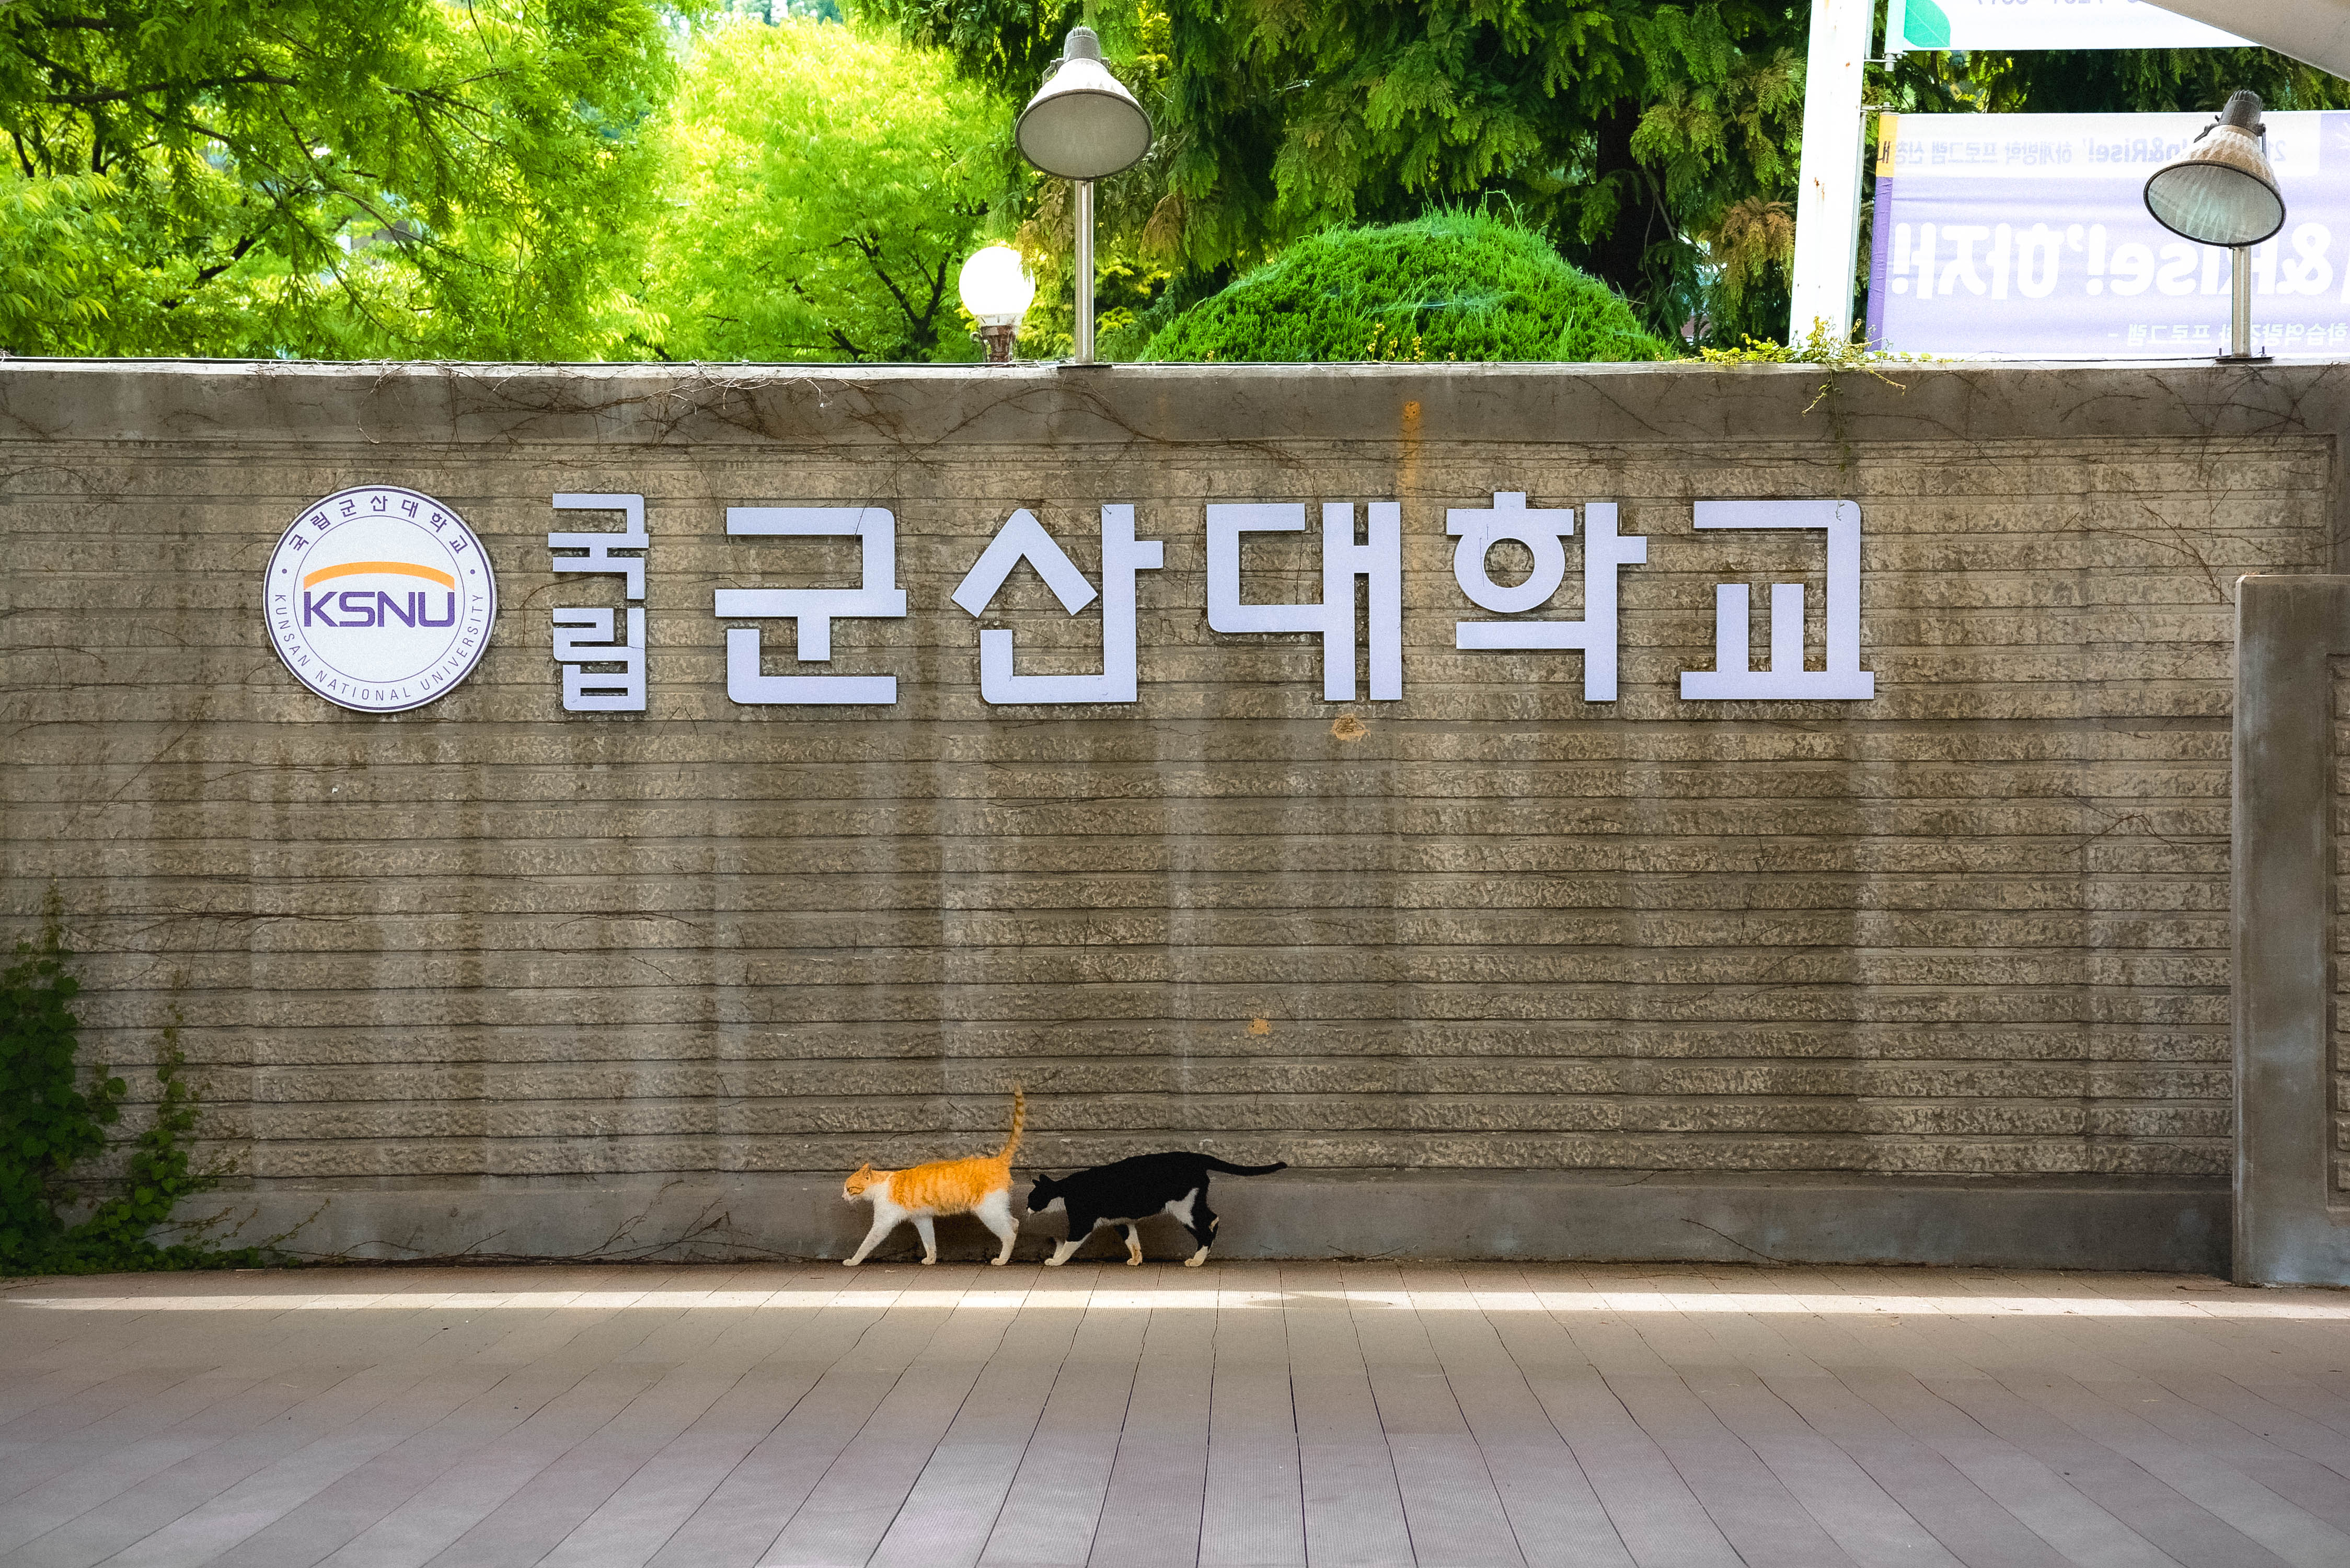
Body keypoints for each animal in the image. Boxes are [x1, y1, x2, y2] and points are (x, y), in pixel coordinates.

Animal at [846, 1086, 1029, 1269]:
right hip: (997, 1208)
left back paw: (1002, 1259)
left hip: (988, 1211)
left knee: (1008, 1234)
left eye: (849, 1189)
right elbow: (929, 1242)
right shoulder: (922, 1218)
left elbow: (867, 1243)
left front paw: (853, 1260)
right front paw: (931, 1258)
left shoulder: (883, 1222)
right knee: (1014, 1223)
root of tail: (997, 1161)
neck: (880, 1184)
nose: (843, 1197)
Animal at [1024, 1147, 1287, 1269]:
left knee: (1205, 1229)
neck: (1065, 1190)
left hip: (1183, 1207)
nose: (1026, 1209)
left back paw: (1197, 1260)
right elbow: (1132, 1241)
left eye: (1031, 1198)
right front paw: (1136, 1259)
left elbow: (1070, 1244)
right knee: (1213, 1218)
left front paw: (1056, 1260)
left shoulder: (1082, 1222)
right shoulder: (1123, 1221)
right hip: (1193, 1202)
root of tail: (1194, 1156)